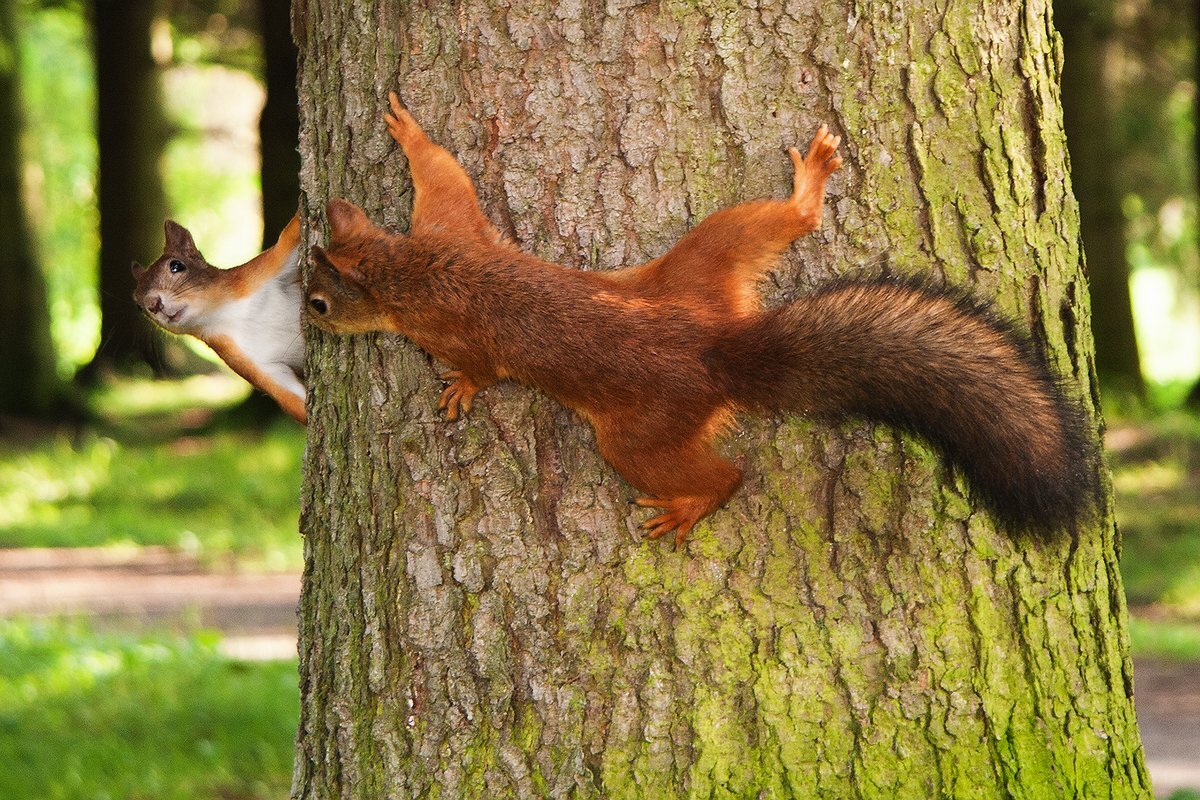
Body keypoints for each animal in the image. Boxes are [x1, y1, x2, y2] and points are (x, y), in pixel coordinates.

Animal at [132, 212, 307, 424]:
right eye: (138, 306)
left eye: (176, 265)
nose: (152, 304)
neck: (225, 314)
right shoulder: (247, 362)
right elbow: (291, 401)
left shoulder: (259, 270)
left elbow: (290, 236)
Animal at [302, 92, 1099, 544]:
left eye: (317, 303)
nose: (309, 329)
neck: (406, 267)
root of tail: (719, 350)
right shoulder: (449, 226)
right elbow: (444, 171)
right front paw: (411, 135)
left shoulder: (447, 311)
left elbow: (477, 366)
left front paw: (459, 391)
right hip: (706, 263)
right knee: (788, 222)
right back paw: (808, 183)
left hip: (636, 438)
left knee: (728, 473)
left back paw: (691, 506)